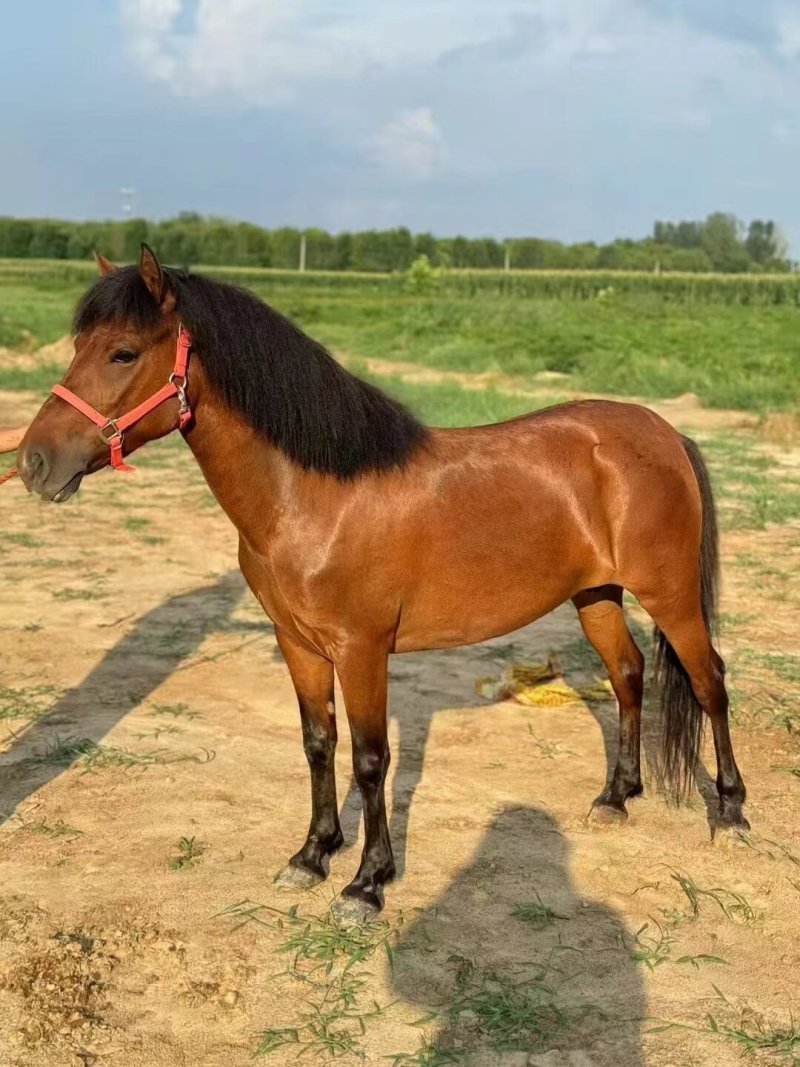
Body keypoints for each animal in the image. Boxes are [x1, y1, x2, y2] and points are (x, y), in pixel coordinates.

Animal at [16, 245, 747, 920]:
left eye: (123, 352)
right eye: (79, 345)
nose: (32, 462)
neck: (314, 495)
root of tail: (664, 433)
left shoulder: (362, 648)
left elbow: (371, 759)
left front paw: (367, 883)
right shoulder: (299, 644)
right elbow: (319, 745)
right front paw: (312, 855)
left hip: (670, 595)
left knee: (709, 680)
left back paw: (732, 813)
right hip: (596, 595)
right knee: (627, 673)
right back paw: (616, 797)